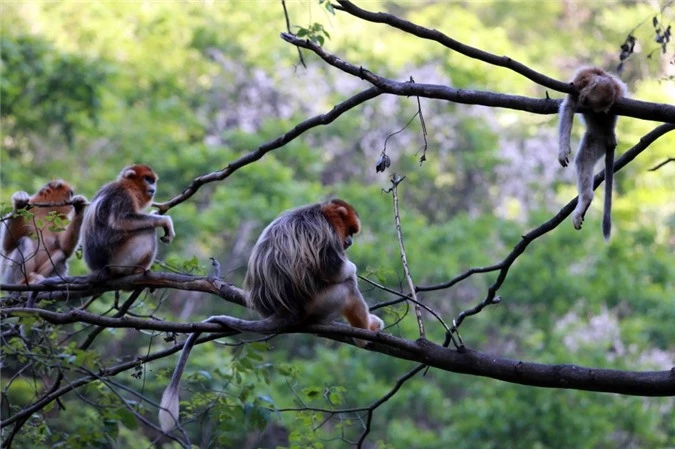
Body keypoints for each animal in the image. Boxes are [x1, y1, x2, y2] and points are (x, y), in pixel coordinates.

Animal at [560, 66, 628, 240]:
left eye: (589, 102)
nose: (583, 101)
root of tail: (608, 134)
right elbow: (569, 106)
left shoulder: (579, 82)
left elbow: (568, 106)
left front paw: (562, 151)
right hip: (598, 139)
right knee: (584, 159)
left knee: (582, 160)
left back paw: (585, 199)